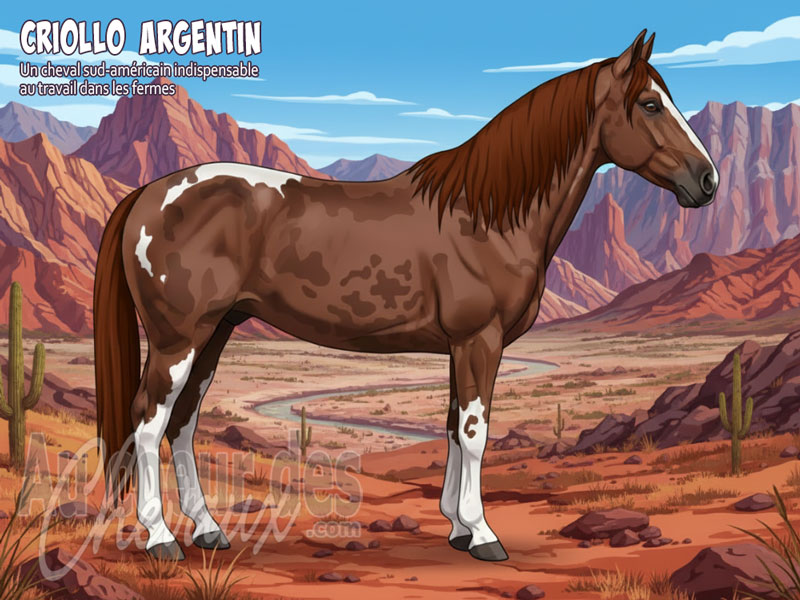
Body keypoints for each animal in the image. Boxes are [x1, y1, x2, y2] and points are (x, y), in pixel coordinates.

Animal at [94, 30, 718, 562]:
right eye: (650, 104)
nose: (708, 180)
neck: (487, 214)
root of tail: (150, 193)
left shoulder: (461, 345)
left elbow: (452, 425)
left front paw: (458, 528)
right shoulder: (479, 339)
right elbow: (475, 433)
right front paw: (483, 533)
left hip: (216, 332)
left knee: (182, 423)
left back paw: (208, 530)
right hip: (178, 338)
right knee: (148, 421)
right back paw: (159, 538)